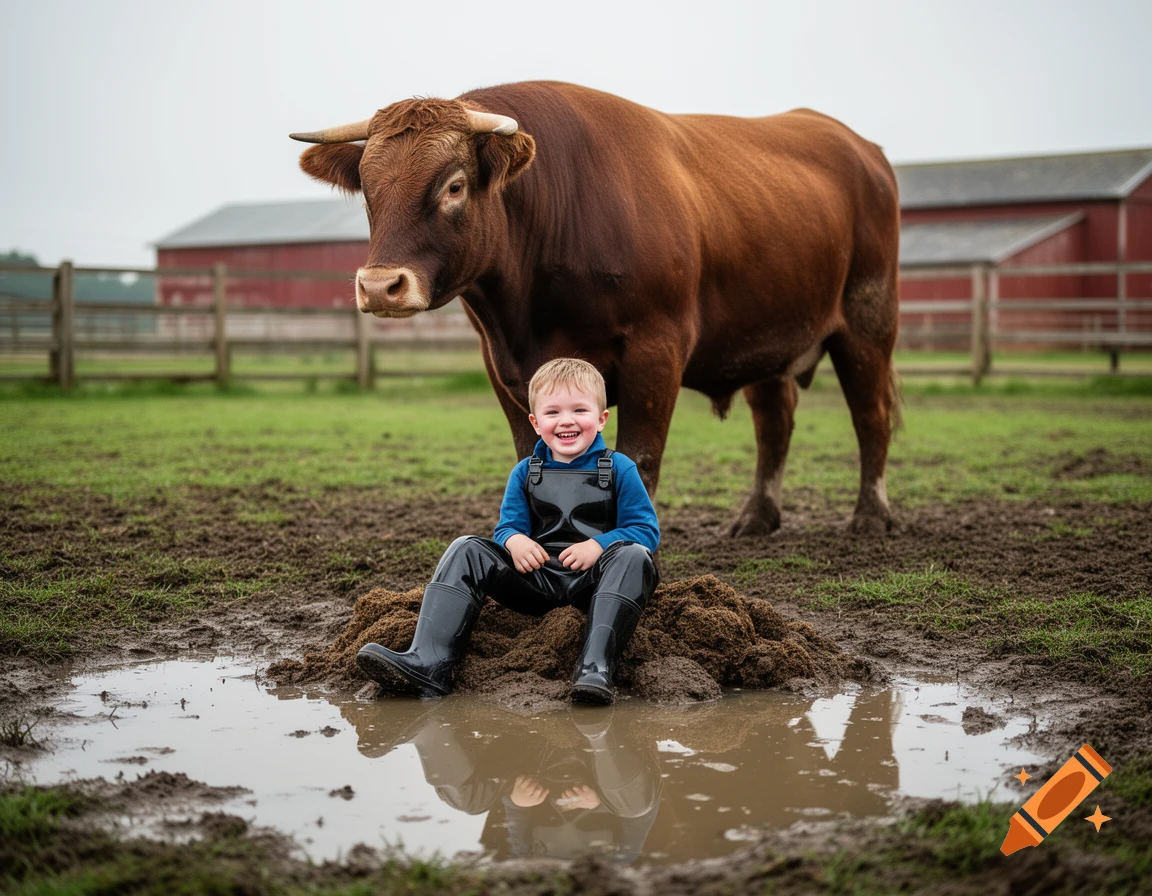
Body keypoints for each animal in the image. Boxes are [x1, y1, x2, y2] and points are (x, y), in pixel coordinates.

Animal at [291, 81, 901, 535]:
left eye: (455, 186)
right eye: (368, 190)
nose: (379, 286)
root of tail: (859, 146)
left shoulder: (656, 350)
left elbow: (642, 461)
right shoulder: (502, 367)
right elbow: (528, 458)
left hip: (868, 319)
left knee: (870, 414)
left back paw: (872, 516)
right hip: (765, 336)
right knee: (775, 421)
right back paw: (757, 516)